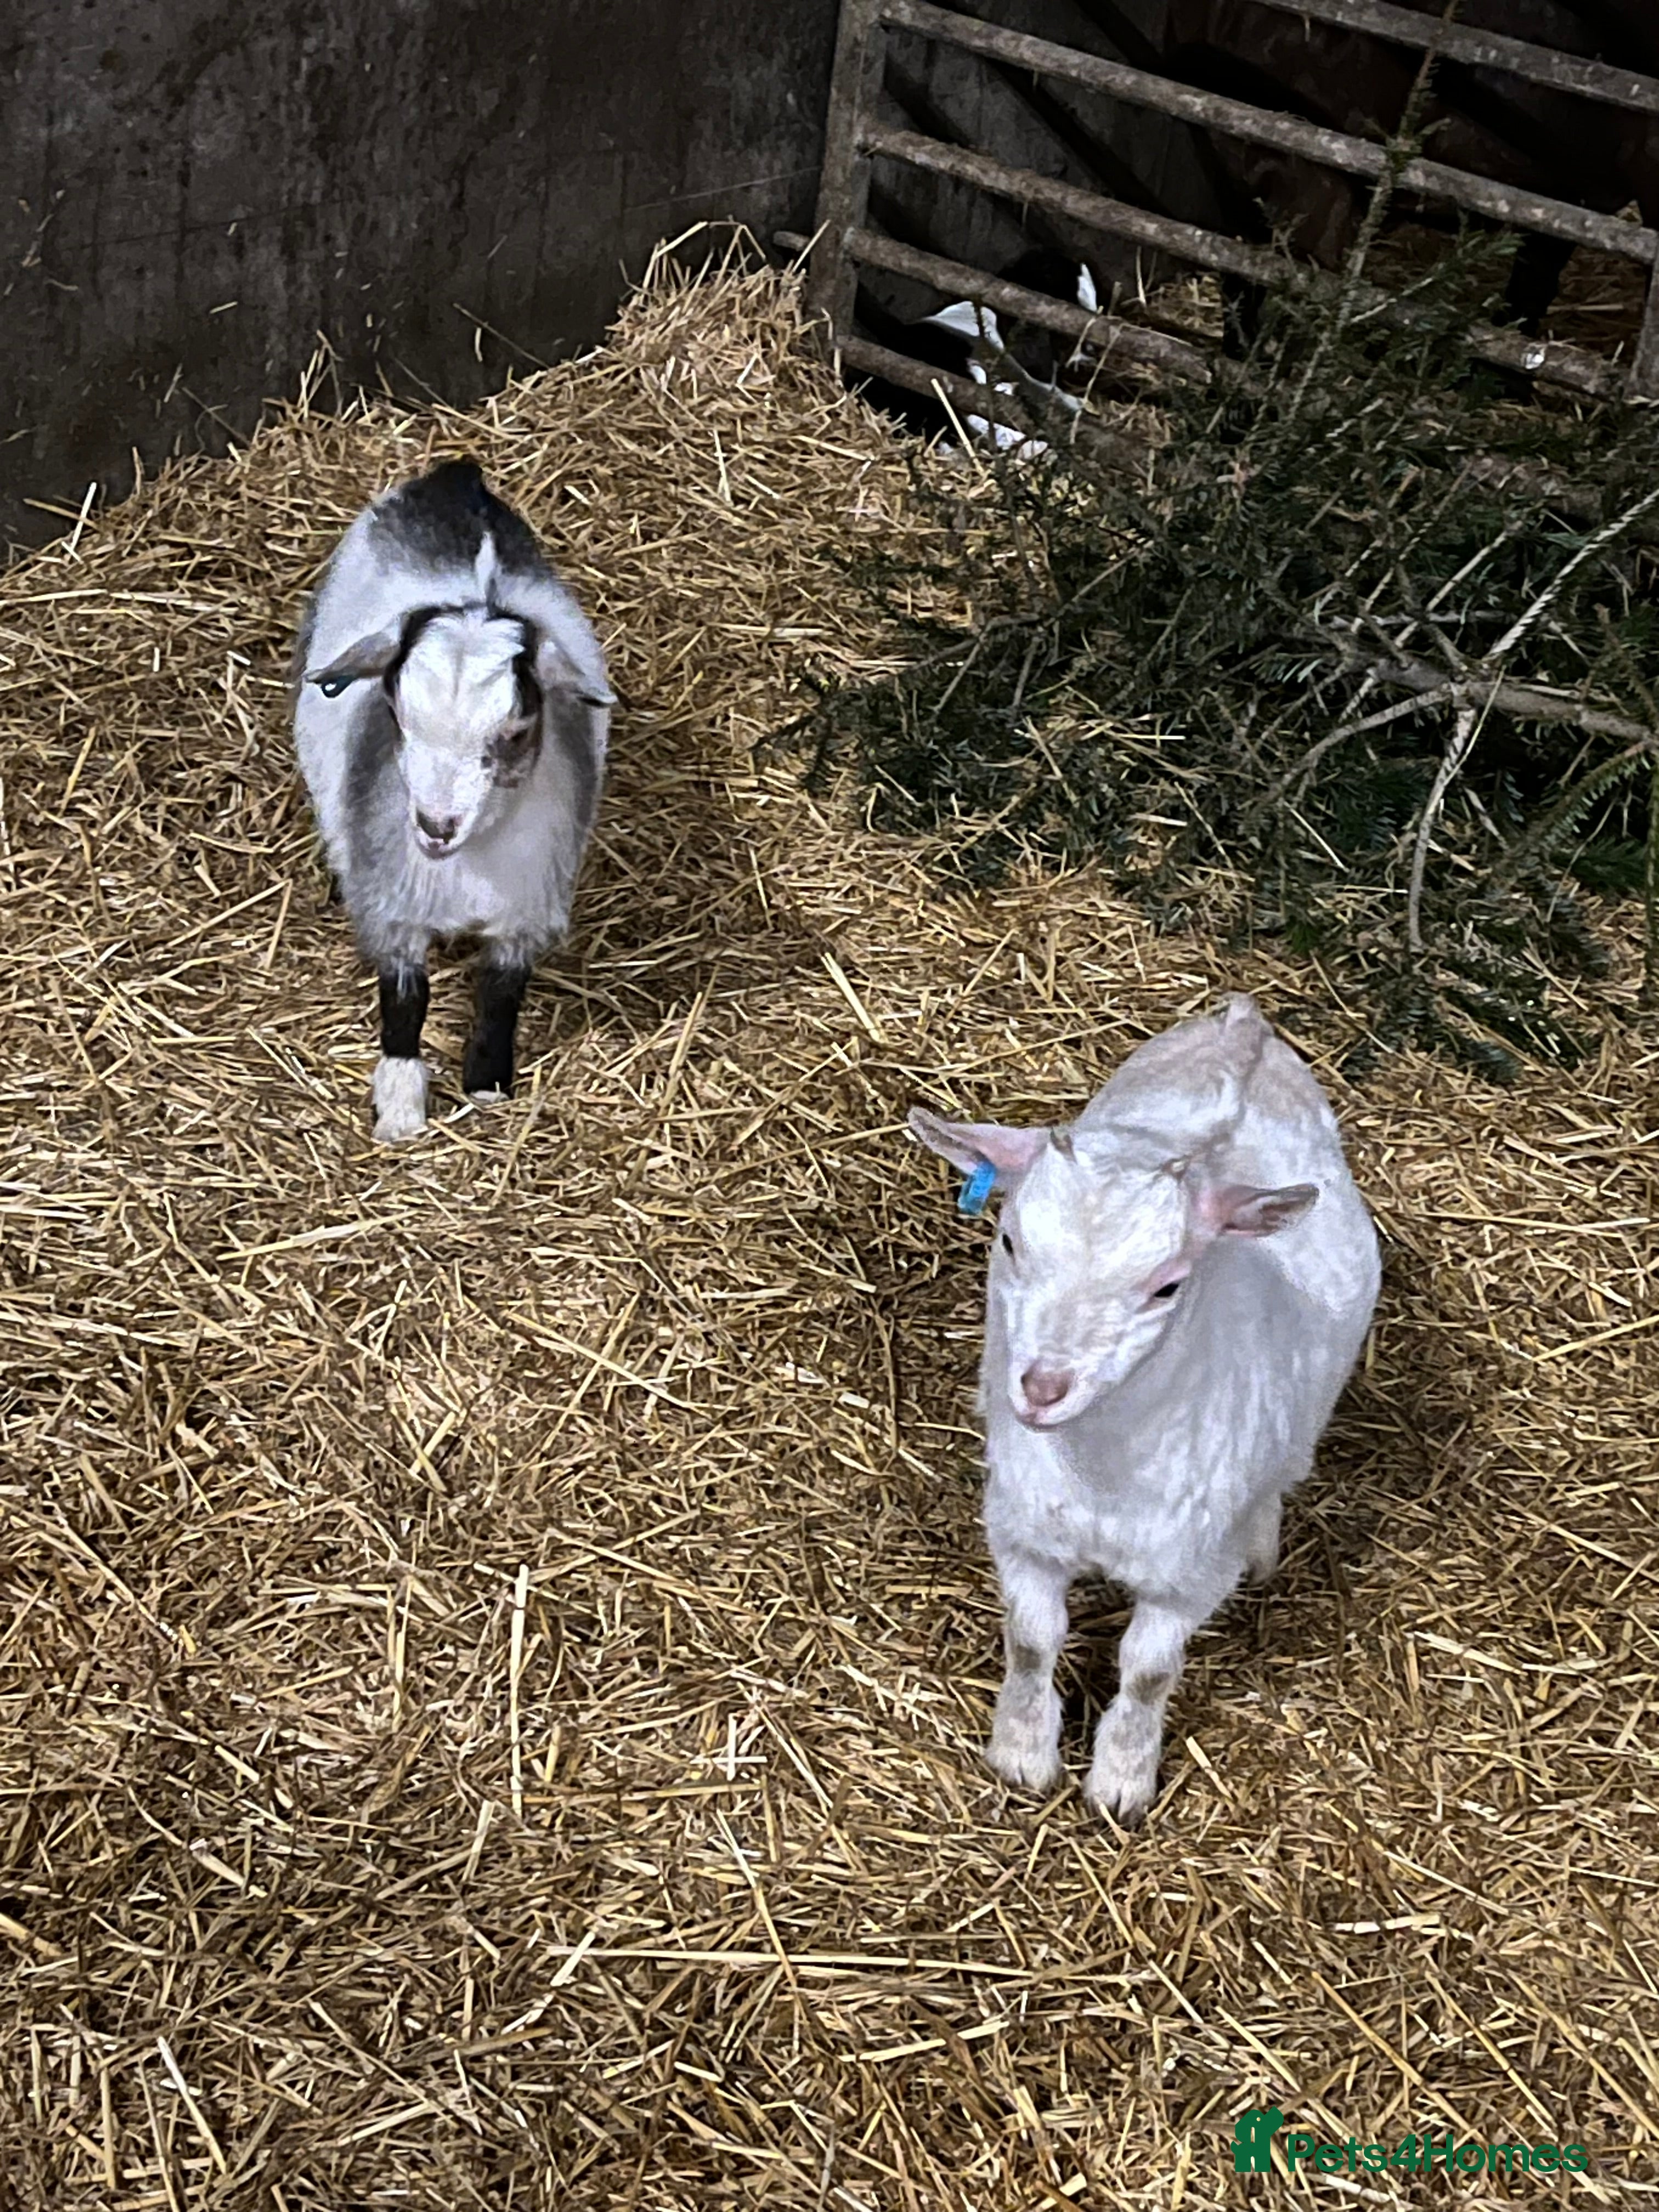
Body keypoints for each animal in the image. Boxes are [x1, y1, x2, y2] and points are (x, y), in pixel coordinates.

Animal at [294, 459, 611, 1142]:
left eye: (515, 733)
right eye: (397, 714)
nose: (435, 827)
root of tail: (458, 478)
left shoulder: (525, 910)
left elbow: (499, 994)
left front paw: (487, 1087)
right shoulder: (395, 908)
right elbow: (405, 999)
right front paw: (400, 1109)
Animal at [910, 994, 1380, 1823]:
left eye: (1167, 1286)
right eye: (1009, 1241)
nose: (1042, 1388)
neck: (1101, 1465)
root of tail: (1244, 1028)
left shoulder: (1187, 1574)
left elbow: (1148, 1670)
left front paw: (1122, 1781)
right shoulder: (1023, 1532)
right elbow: (1031, 1640)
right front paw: (1023, 1754)